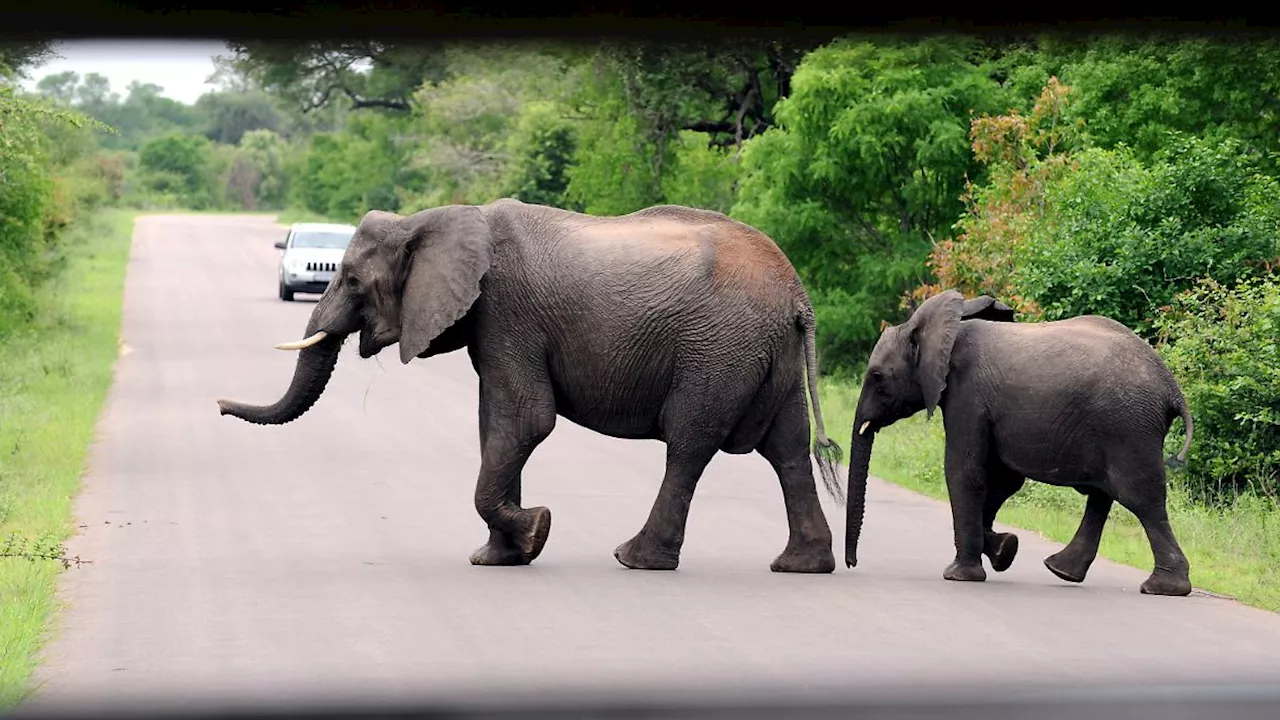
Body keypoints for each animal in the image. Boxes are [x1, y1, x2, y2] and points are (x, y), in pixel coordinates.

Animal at [216, 196, 844, 571]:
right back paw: (800, 566)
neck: (435, 218)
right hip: (767, 354)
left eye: (349, 279)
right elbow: (495, 425)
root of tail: (798, 293)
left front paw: (535, 531)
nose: (219, 403)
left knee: (689, 445)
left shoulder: (507, 313)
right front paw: (501, 557)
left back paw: (634, 559)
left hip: (717, 351)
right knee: (789, 450)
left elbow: (525, 420)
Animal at [844, 285, 1192, 594]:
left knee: (1138, 496)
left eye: (877, 378)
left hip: (1128, 427)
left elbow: (965, 471)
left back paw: (1163, 588)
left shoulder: (967, 394)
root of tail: (1172, 389)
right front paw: (1004, 549)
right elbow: (1003, 480)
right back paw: (1062, 570)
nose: (851, 564)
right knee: (1103, 494)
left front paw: (959, 575)